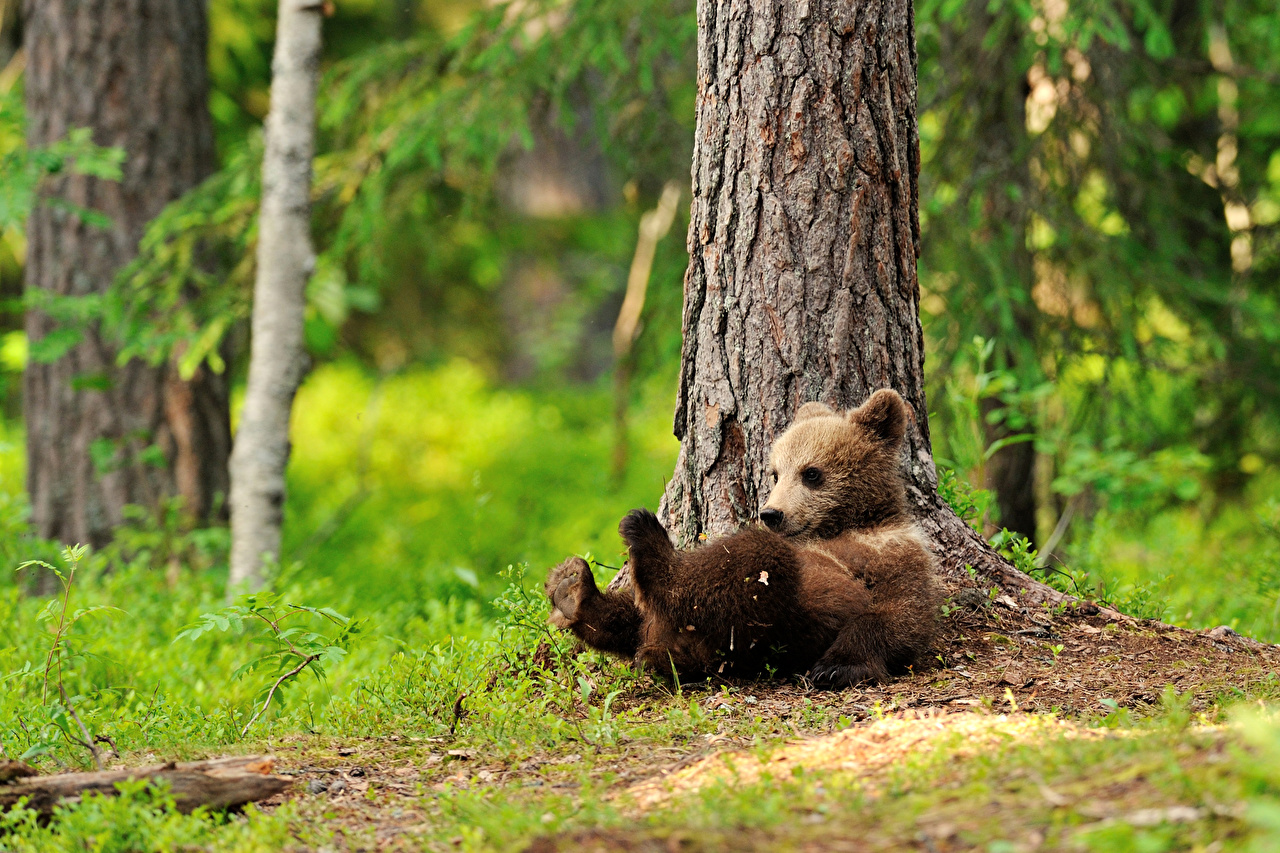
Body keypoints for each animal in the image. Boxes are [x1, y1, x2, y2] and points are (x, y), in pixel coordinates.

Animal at [544, 389, 941, 688]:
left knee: (753, 559)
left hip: (785, 625)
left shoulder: (893, 552)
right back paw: (575, 591)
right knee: (643, 614)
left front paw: (836, 667)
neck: (846, 523)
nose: (771, 514)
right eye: (776, 472)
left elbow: (901, 616)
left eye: (812, 473)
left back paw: (642, 544)